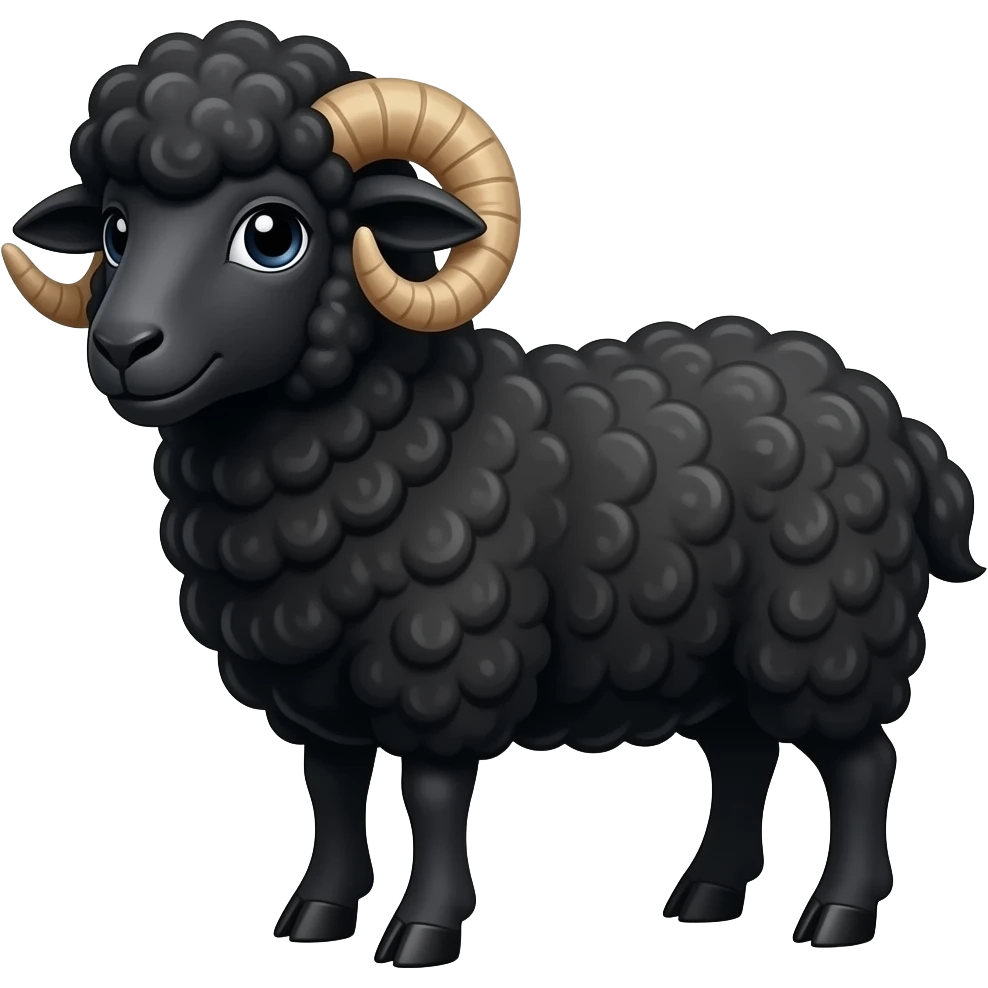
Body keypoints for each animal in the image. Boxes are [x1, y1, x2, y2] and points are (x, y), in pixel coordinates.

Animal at [3, 21, 982, 968]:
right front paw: (316, 914)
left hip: (830, 629)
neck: (389, 427)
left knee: (862, 762)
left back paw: (839, 916)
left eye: (272, 234)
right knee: (745, 754)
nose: (123, 347)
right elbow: (331, 789)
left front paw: (422, 932)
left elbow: (432, 796)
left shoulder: (445, 656)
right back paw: (705, 897)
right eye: (117, 229)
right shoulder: (310, 677)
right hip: (728, 657)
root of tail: (890, 411)